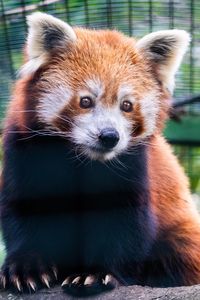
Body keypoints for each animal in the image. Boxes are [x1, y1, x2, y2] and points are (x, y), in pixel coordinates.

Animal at [0, 11, 200, 296]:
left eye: (127, 105)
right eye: (85, 101)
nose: (109, 136)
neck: (82, 161)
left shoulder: (134, 168)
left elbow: (124, 229)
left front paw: (95, 274)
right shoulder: (25, 153)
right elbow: (23, 211)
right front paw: (26, 267)